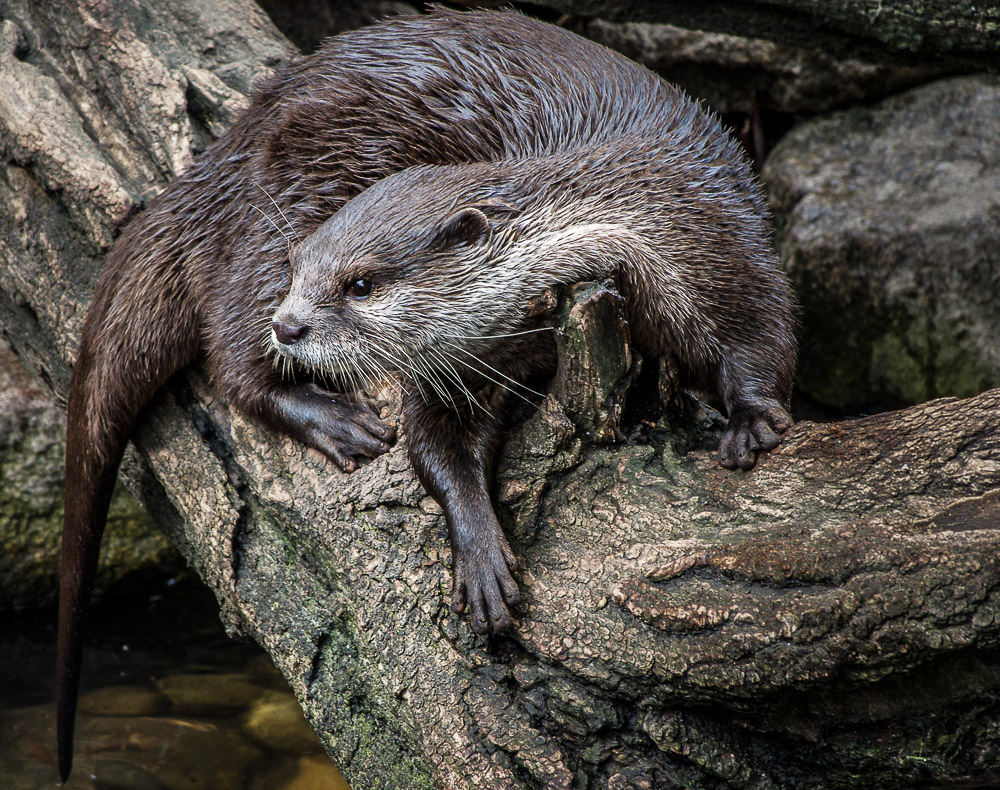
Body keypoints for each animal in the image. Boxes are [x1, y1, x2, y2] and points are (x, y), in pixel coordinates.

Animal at [58, 6, 796, 784]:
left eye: (360, 283)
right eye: (303, 265)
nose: (291, 324)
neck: (633, 213)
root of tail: (233, 145)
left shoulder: (718, 238)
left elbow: (763, 328)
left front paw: (750, 421)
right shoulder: (459, 356)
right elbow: (433, 442)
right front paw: (479, 553)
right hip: (280, 200)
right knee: (232, 354)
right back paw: (335, 420)